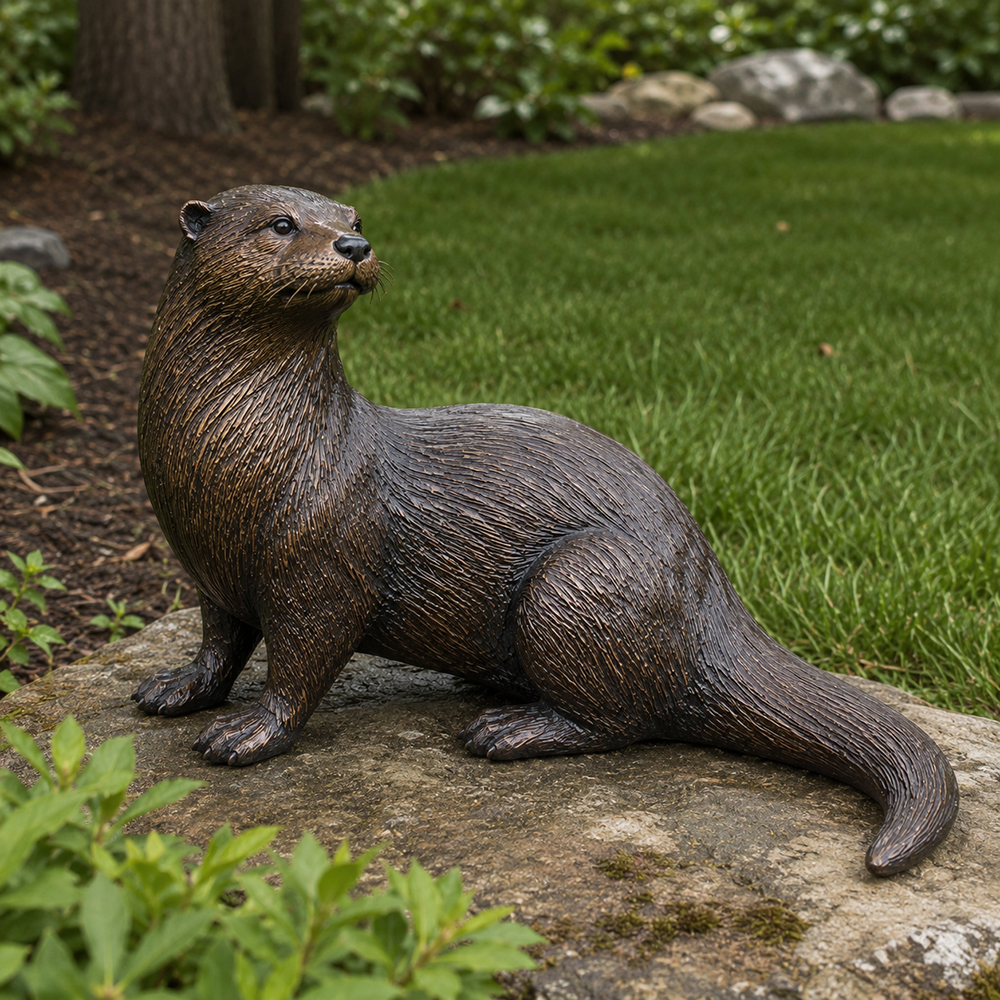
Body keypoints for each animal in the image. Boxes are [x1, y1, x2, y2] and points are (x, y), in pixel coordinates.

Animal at [134, 184, 958, 877]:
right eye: (281, 223)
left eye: (355, 216)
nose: (353, 245)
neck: (240, 459)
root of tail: (710, 601)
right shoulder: (207, 568)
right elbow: (218, 643)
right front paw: (176, 689)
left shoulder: (321, 565)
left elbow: (300, 663)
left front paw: (249, 734)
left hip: (580, 587)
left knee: (625, 719)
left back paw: (510, 729)